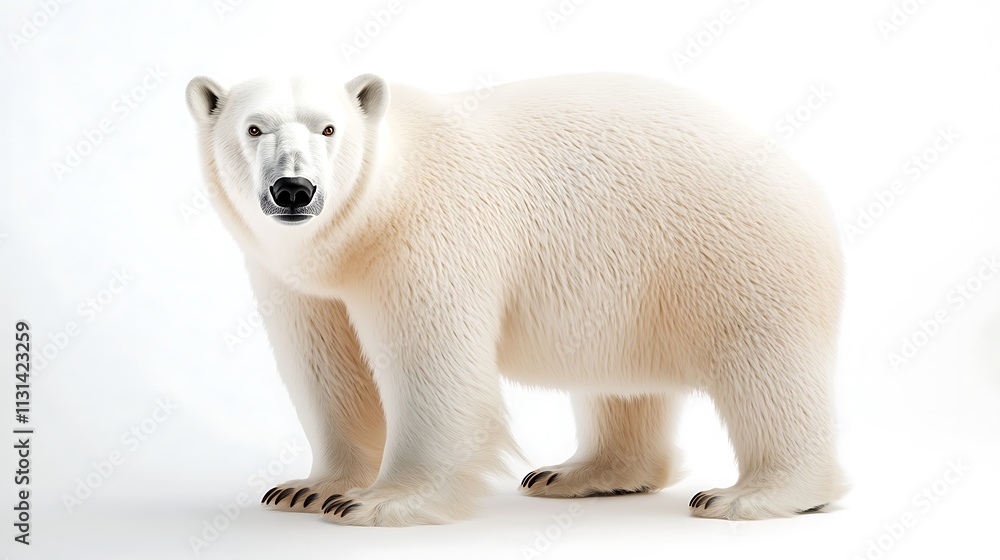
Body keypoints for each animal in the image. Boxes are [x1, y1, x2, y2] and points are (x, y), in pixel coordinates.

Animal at [185, 72, 847, 527]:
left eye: (328, 128)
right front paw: (308, 488)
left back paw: (753, 494)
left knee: (765, 368)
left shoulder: (427, 235)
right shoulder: (296, 277)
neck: (371, 216)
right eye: (253, 127)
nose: (294, 189)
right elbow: (326, 370)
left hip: (735, 251)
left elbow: (433, 367)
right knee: (618, 379)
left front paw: (382, 502)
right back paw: (582, 473)